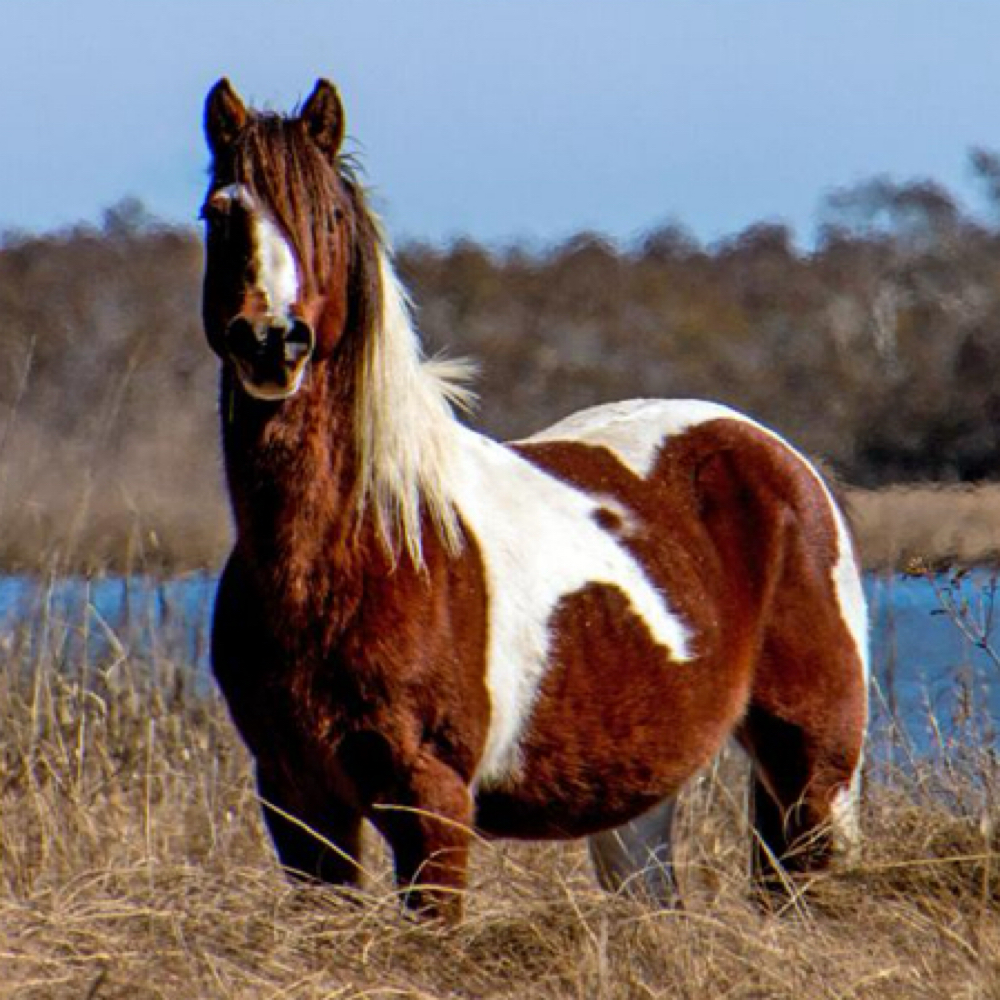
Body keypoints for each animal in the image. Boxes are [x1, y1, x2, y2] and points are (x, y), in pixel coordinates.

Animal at [200, 77, 869, 920]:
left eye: (329, 215)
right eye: (219, 214)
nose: (270, 341)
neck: (364, 546)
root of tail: (783, 459)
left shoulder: (431, 802)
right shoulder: (299, 801)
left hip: (814, 764)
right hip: (639, 805)